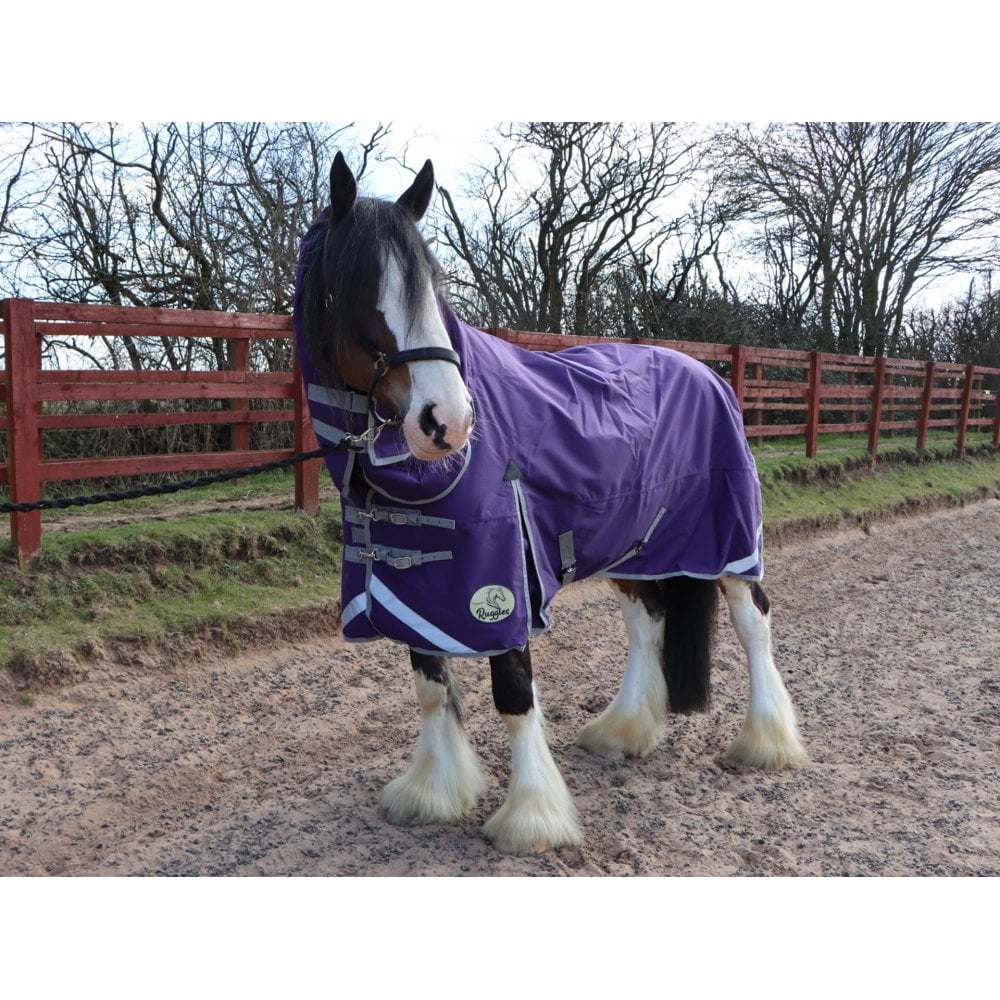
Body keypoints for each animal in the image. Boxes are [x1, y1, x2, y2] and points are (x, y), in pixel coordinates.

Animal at [293, 152, 807, 855]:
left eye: (431, 288)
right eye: (358, 290)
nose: (447, 420)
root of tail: (707, 373)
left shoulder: (501, 586)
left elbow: (513, 694)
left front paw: (532, 817)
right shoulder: (411, 586)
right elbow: (430, 689)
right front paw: (432, 792)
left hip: (727, 544)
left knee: (755, 625)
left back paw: (766, 742)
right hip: (636, 550)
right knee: (647, 624)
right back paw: (623, 731)